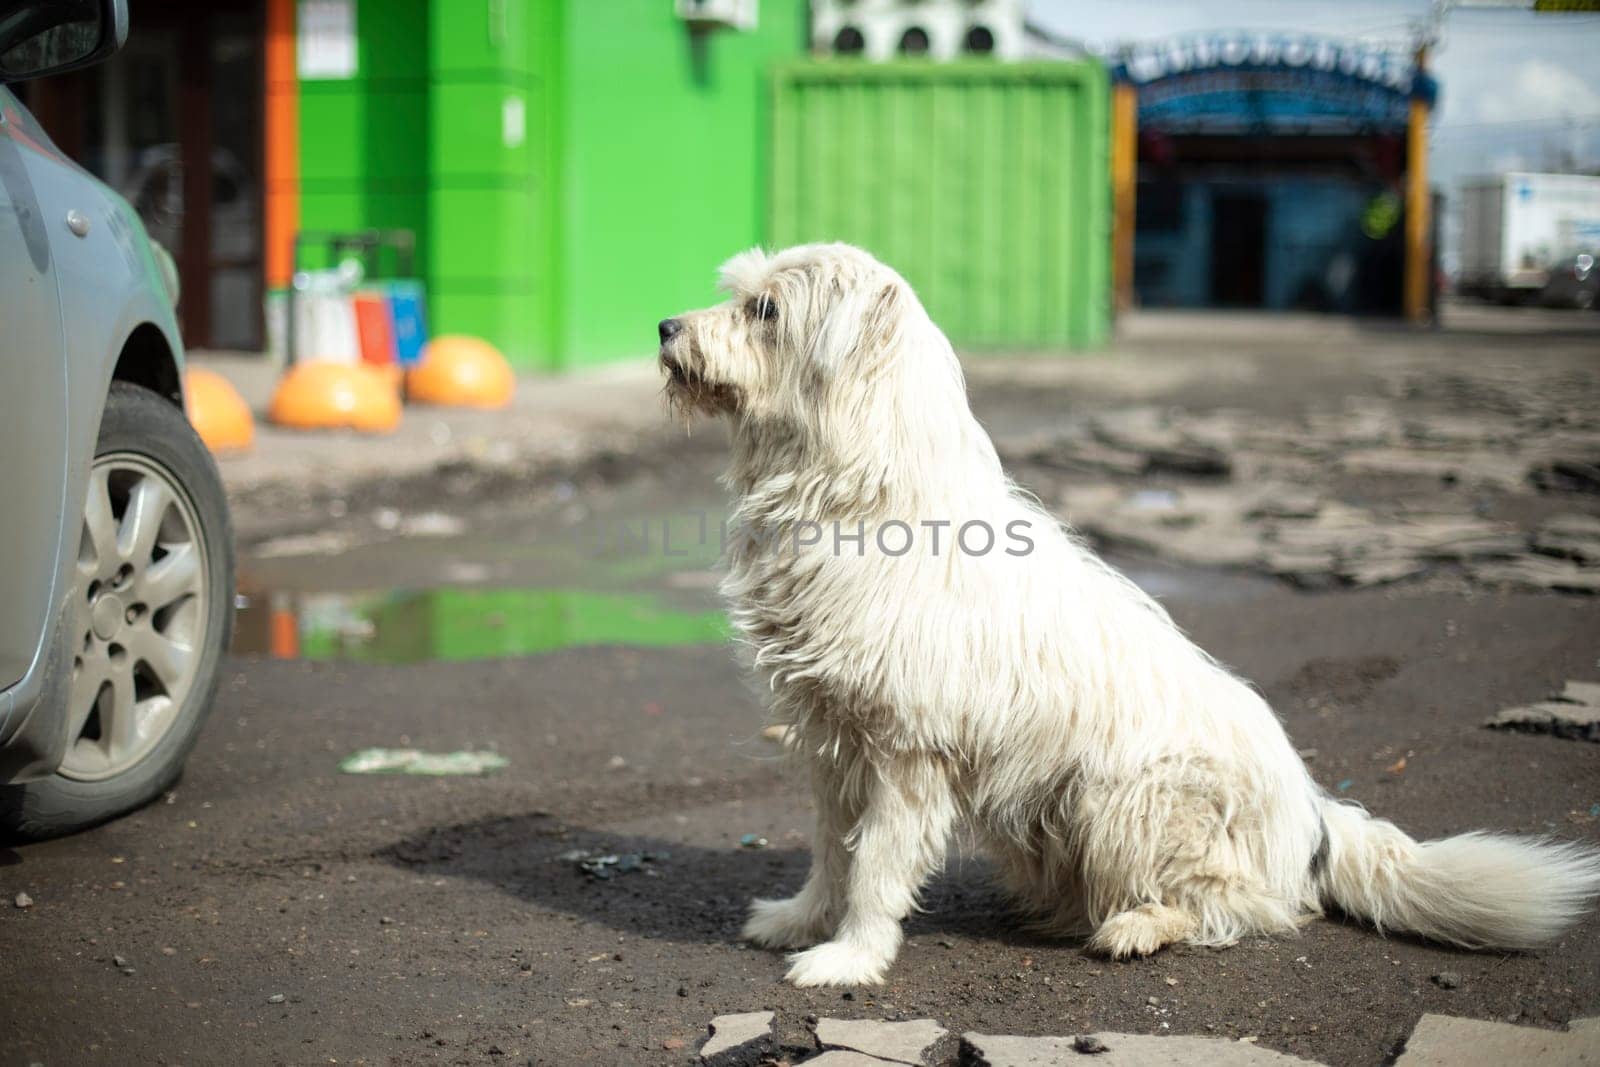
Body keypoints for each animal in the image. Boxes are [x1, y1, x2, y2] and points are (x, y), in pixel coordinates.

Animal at [652, 244, 1600, 991]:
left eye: (766, 309)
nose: (664, 326)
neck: (856, 492)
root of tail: (1316, 817)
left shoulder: (906, 749)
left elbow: (877, 864)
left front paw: (849, 957)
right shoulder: (832, 739)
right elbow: (831, 850)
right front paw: (801, 918)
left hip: (1127, 801)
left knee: (1247, 906)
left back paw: (1138, 925)